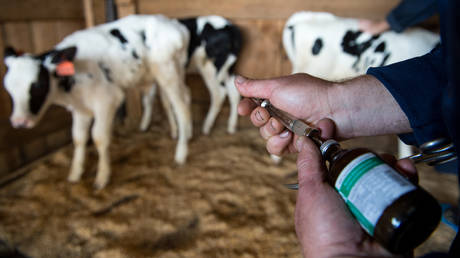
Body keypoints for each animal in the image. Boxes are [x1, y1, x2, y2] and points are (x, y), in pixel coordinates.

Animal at [2, 15, 191, 188]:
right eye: (8, 88)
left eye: (38, 84)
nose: (19, 122)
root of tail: (174, 25)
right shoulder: (79, 109)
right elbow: (78, 138)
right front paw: (75, 173)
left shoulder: (107, 101)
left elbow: (99, 137)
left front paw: (102, 177)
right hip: (174, 70)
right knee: (182, 97)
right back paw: (183, 132)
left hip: (167, 71)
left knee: (181, 106)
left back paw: (181, 153)